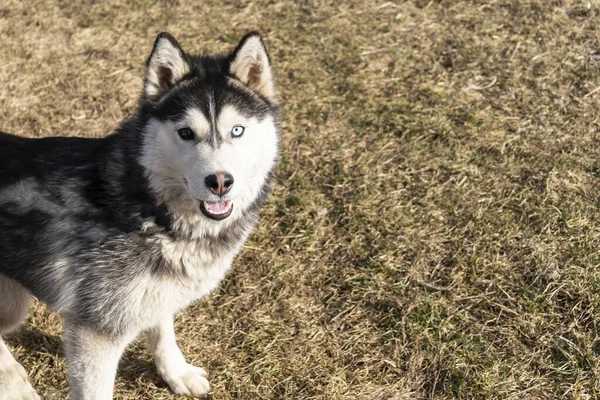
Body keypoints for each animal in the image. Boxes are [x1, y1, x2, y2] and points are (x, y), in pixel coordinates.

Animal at [0, 32, 280, 400]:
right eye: (185, 133)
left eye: (237, 130)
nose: (219, 181)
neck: (151, 211)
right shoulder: (94, 334)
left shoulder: (155, 291)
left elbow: (162, 333)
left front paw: (176, 372)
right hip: (14, 302)